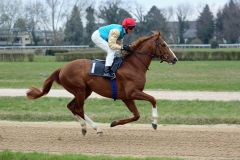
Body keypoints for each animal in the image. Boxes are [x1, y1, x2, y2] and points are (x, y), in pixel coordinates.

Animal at [26, 31, 178, 135]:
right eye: (163, 44)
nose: (175, 59)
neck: (134, 65)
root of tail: (62, 68)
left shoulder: (126, 97)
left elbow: (136, 115)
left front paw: (114, 123)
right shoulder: (132, 93)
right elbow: (153, 99)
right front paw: (154, 123)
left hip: (85, 91)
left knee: (71, 106)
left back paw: (85, 127)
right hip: (80, 90)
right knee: (78, 109)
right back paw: (96, 128)